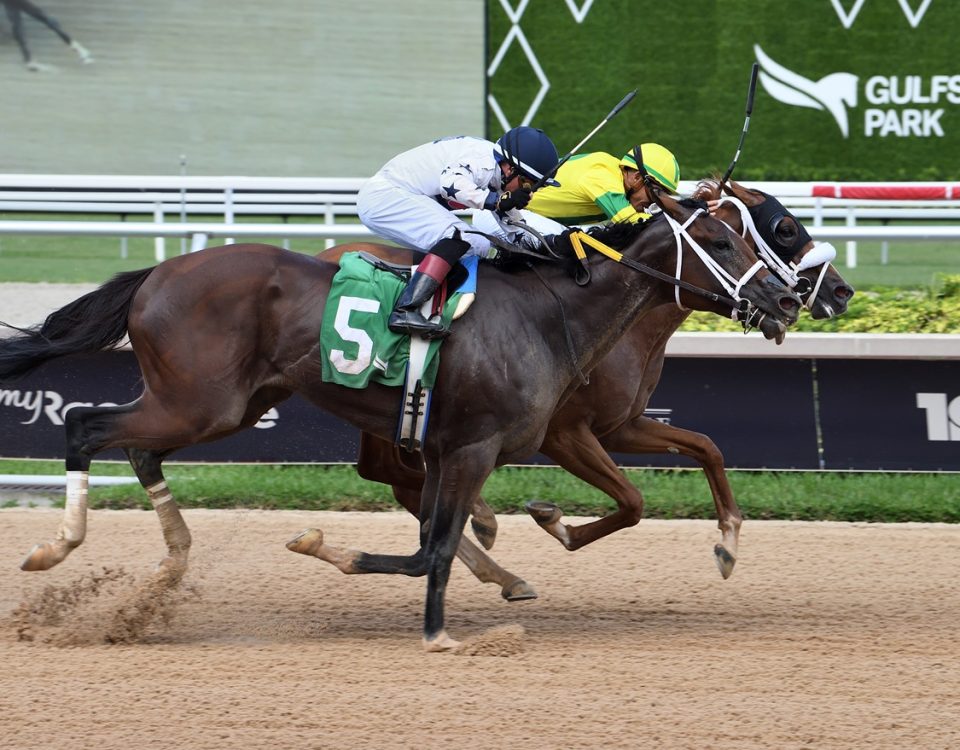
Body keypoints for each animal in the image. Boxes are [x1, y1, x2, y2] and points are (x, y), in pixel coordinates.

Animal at [1, 189, 804, 652]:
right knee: (85, 427)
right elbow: (431, 549)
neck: (550, 315)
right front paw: (431, 626)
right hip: (201, 402)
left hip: (222, 404)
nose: (789, 299)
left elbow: (434, 539)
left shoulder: (460, 448)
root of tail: (160, 273)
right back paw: (56, 548)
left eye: (758, 234)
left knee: (138, 451)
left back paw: (166, 567)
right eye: (725, 241)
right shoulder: (484, 445)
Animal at [310, 179, 856, 592]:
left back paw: (493, 560)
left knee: (392, 474)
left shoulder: (623, 424)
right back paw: (486, 536)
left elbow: (706, 448)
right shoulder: (564, 432)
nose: (837, 291)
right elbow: (632, 501)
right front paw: (552, 520)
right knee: (399, 475)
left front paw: (728, 542)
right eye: (784, 228)